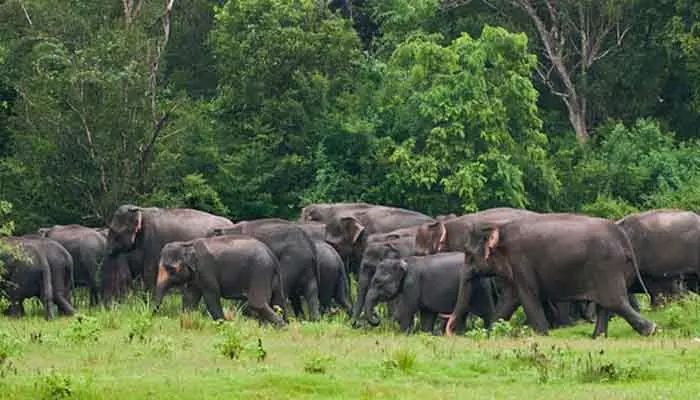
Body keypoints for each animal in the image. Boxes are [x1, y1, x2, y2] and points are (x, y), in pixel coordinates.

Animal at [153, 234, 284, 324]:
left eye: (171, 270)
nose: (153, 313)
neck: (187, 243)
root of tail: (271, 255)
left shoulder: (206, 269)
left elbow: (211, 296)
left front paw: (223, 324)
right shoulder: (196, 275)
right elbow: (190, 297)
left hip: (260, 271)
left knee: (257, 303)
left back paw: (282, 327)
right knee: (277, 301)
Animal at [360, 250, 498, 334]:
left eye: (377, 282)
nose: (377, 316)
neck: (403, 261)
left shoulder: (412, 284)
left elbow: (406, 310)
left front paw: (403, 334)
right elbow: (427, 315)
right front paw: (425, 334)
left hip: (480, 288)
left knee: (487, 313)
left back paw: (489, 334)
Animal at [448, 212, 656, 338]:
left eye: (468, 254)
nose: (450, 331)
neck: (500, 227)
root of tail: (622, 236)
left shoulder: (521, 261)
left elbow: (528, 297)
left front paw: (542, 335)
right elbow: (508, 300)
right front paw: (490, 334)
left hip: (607, 266)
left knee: (614, 301)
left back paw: (650, 330)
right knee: (606, 304)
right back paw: (597, 337)